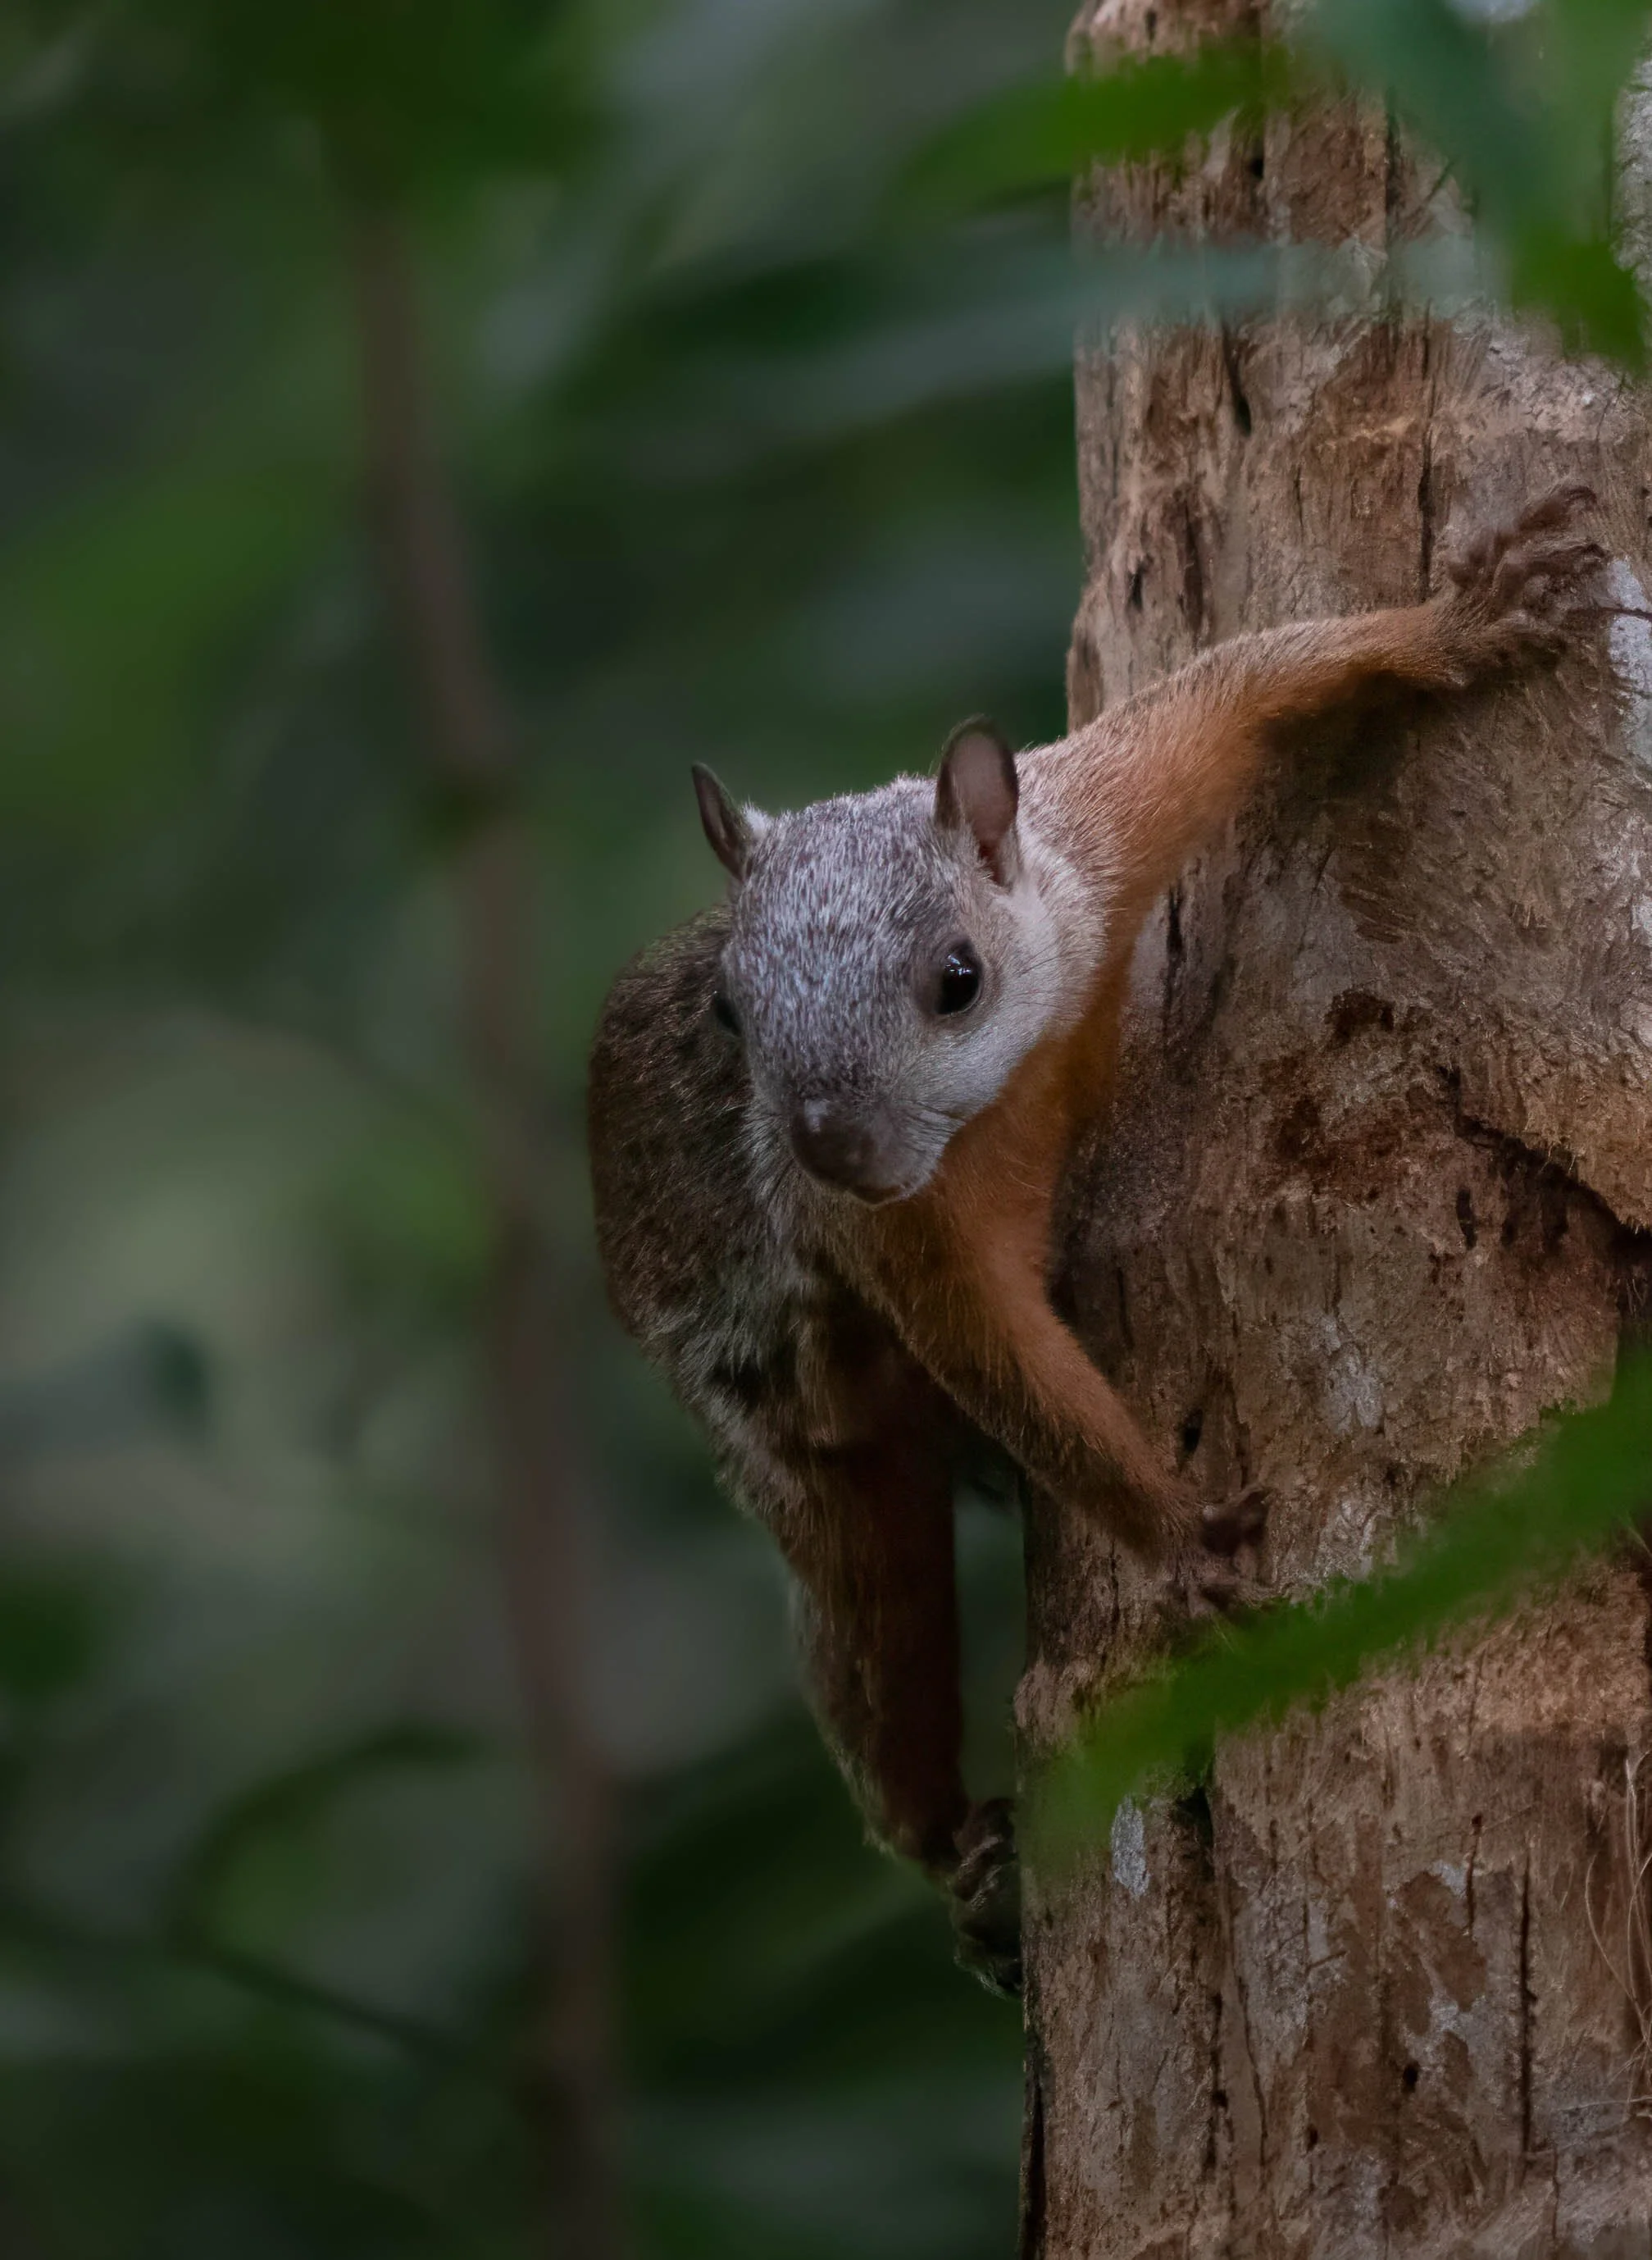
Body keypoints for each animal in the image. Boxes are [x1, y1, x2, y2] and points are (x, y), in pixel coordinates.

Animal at [587, 483, 1602, 1992]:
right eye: (729, 1010)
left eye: (957, 977)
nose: (833, 1150)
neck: (1008, 1094)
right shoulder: (899, 1239)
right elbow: (1013, 1368)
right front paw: (1176, 1543)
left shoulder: (1105, 823)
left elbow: (1250, 686)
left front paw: (1470, 614)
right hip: (790, 1437)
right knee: (869, 1631)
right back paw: (960, 1858)